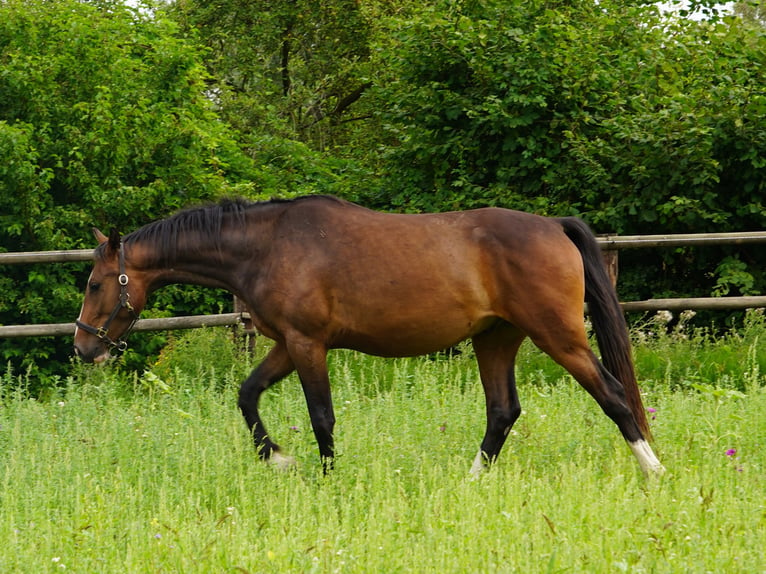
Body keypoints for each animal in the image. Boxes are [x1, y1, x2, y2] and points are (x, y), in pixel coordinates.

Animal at [75, 196, 668, 480]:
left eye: (96, 283)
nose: (84, 348)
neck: (268, 246)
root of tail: (552, 226)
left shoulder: (307, 344)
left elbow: (321, 417)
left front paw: (325, 477)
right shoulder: (287, 344)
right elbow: (247, 396)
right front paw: (278, 459)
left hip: (557, 336)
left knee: (615, 397)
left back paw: (656, 473)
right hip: (496, 339)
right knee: (503, 412)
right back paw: (469, 481)